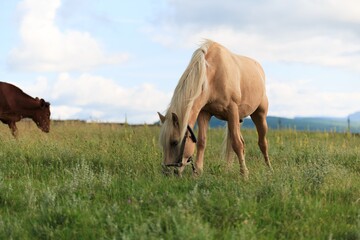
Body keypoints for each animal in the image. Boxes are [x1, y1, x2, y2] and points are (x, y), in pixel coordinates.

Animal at [158, 39, 272, 178]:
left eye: (174, 142)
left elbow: (237, 144)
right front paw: (197, 173)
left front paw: (244, 174)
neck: (212, 75)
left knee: (262, 143)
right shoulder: (204, 113)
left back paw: (269, 168)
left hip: (259, 116)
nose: (167, 172)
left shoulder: (232, 110)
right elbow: (202, 142)